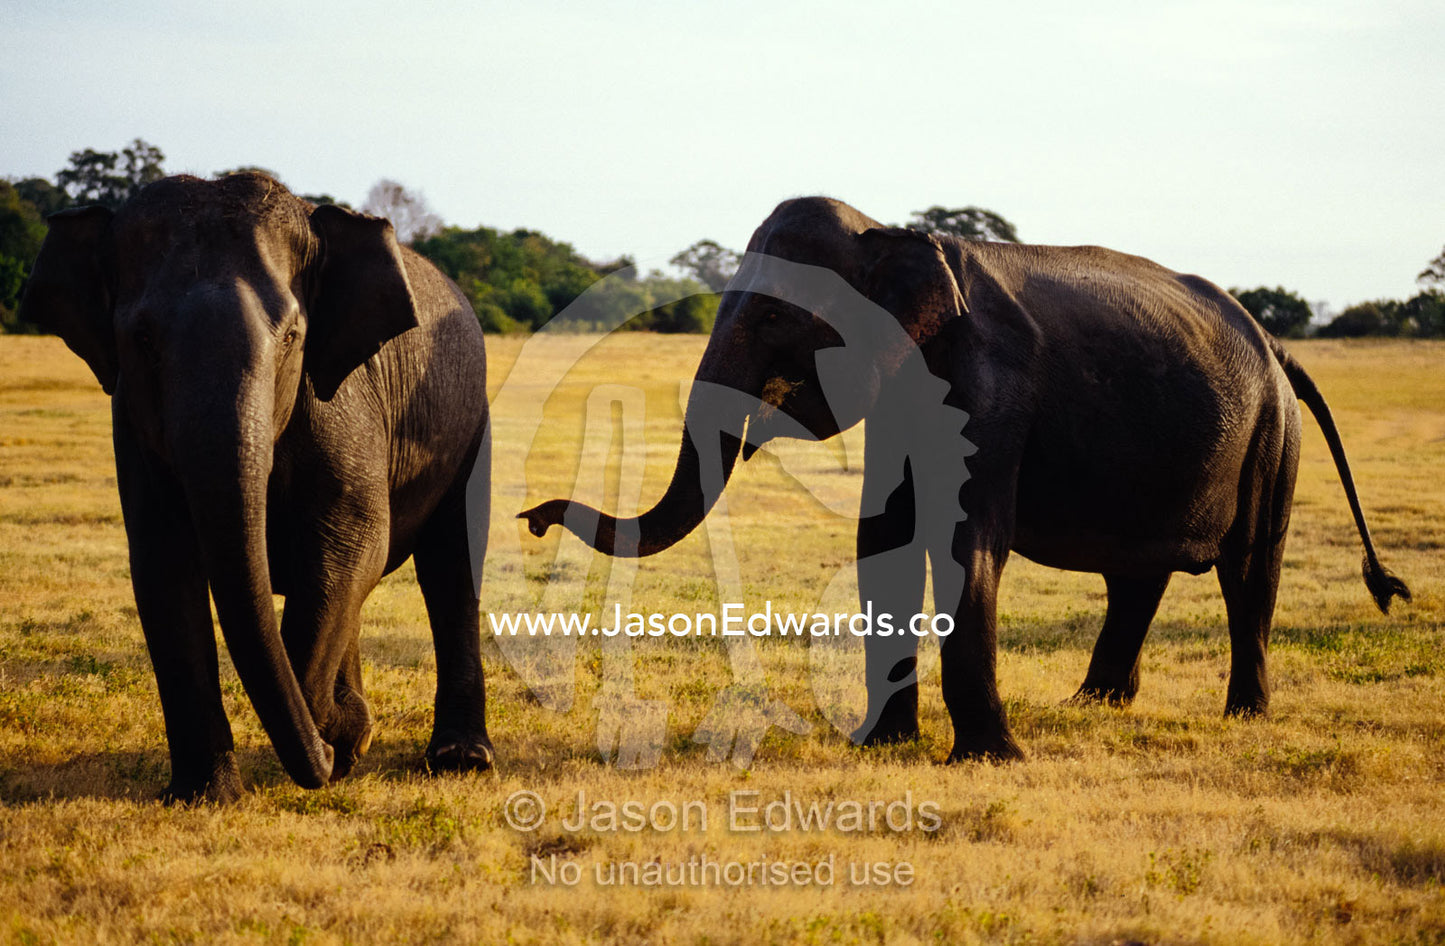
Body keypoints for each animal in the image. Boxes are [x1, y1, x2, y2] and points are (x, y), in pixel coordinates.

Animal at [19, 172, 494, 801]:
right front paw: (205, 797)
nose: (326, 754)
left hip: (471, 427)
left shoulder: (343, 404)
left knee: (450, 568)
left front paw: (338, 736)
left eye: (292, 335)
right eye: (141, 339)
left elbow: (353, 543)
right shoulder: (133, 427)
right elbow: (163, 568)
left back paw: (457, 759)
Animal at [520, 195, 1410, 762]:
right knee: (1138, 576)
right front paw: (880, 746)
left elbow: (963, 541)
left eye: (774, 317)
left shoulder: (992, 388)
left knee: (1248, 567)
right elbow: (881, 536)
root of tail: (1273, 340)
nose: (531, 517)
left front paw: (989, 759)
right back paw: (1092, 707)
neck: (892, 234)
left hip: (1271, 437)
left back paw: (1242, 717)